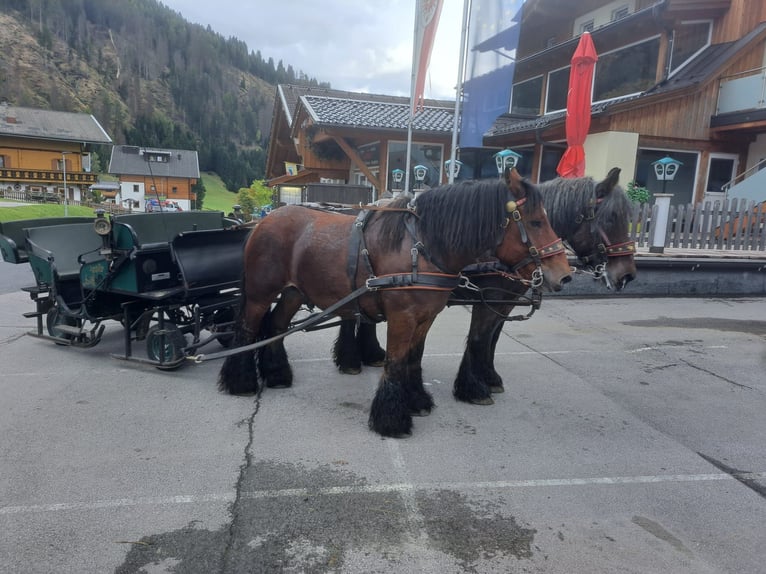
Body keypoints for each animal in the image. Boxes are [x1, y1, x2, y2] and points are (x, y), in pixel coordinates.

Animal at [219, 169, 572, 438]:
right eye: (536, 222)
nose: (564, 275)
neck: (421, 247)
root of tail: (263, 222)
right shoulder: (403, 317)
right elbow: (397, 361)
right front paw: (392, 419)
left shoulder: (426, 316)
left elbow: (413, 359)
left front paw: (416, 400)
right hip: (261, 293)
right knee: (247, 330)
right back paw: (241, 381)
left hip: (293, 293)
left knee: (276, 326)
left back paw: (276, 374)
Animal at [336, 169, 640, 404]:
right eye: (611, 218)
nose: (627, 275)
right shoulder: (489, 299)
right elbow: (479, 339)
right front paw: (473, 387)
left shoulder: (503, 302)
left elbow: (492, 340)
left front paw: (488, 377)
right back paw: (351, 360)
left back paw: (368, 355)